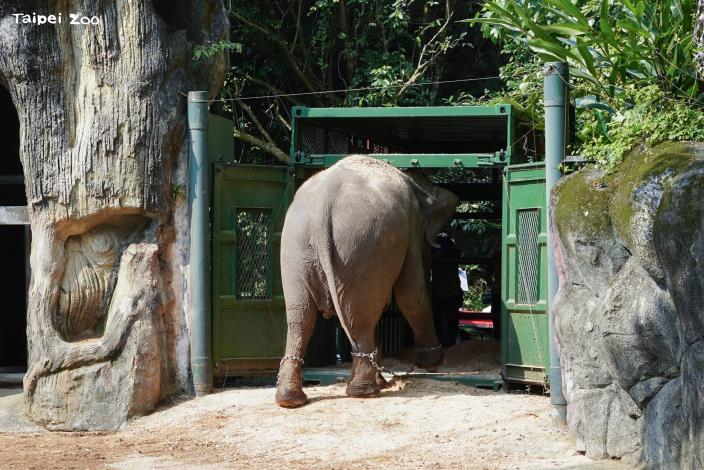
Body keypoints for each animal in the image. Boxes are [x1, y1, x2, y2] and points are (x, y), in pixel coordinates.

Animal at [275, 155, 459, 408]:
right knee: (359, 315)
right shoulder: (410, 225)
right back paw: (366, 391)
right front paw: (432, 363)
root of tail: (322, 206)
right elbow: (411, 293)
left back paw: (290, 399)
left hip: (296, 248)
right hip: (359, 246)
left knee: (300, 316)